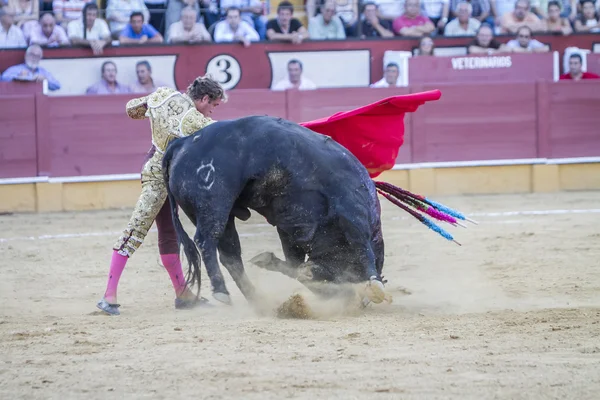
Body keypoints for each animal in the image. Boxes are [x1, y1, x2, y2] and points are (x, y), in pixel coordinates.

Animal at [163, 115, 390, 306]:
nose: (341, 296)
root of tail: (182, 142)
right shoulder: (352, 213)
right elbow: (362, 248)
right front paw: (374, 285)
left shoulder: (289, 229)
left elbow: (292, 264)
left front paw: (268, 261)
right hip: (213, 202)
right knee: (205, 240)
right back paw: (222, 291)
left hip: (212, 213)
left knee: (230, 254)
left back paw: (256, 298)